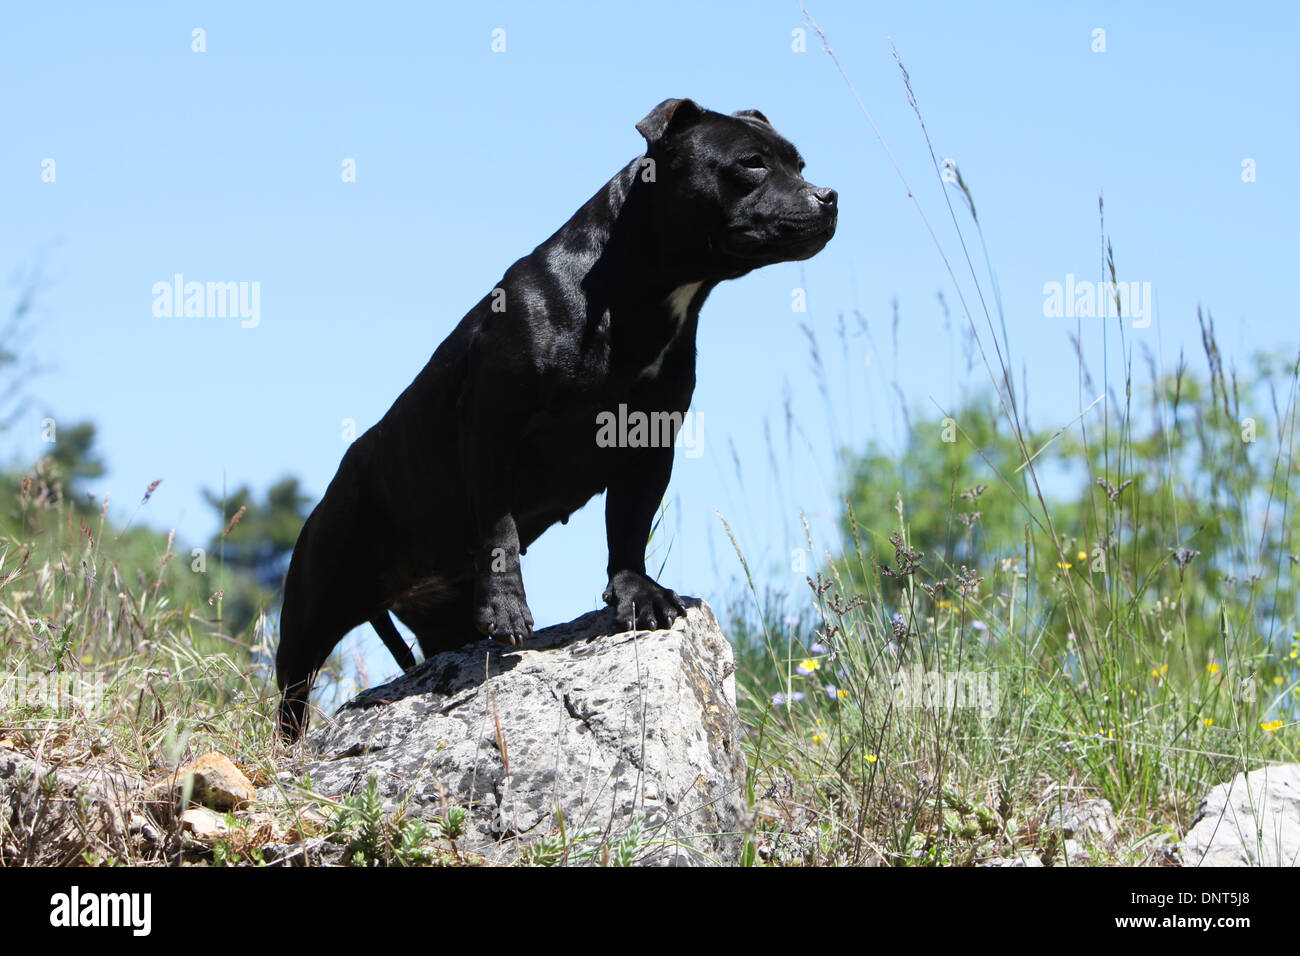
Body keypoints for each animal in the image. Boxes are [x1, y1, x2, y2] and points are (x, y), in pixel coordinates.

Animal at [278, 98, 837, 738]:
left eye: (799, 164)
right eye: (751, 163)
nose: (828, 195)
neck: (641, 292)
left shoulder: (647, 440)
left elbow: (628, 525)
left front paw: (637, 592)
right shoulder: (490, 423)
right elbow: (500, 527)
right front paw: (508, 606)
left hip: (441, 616)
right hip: (311, 608)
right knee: (292, 693)